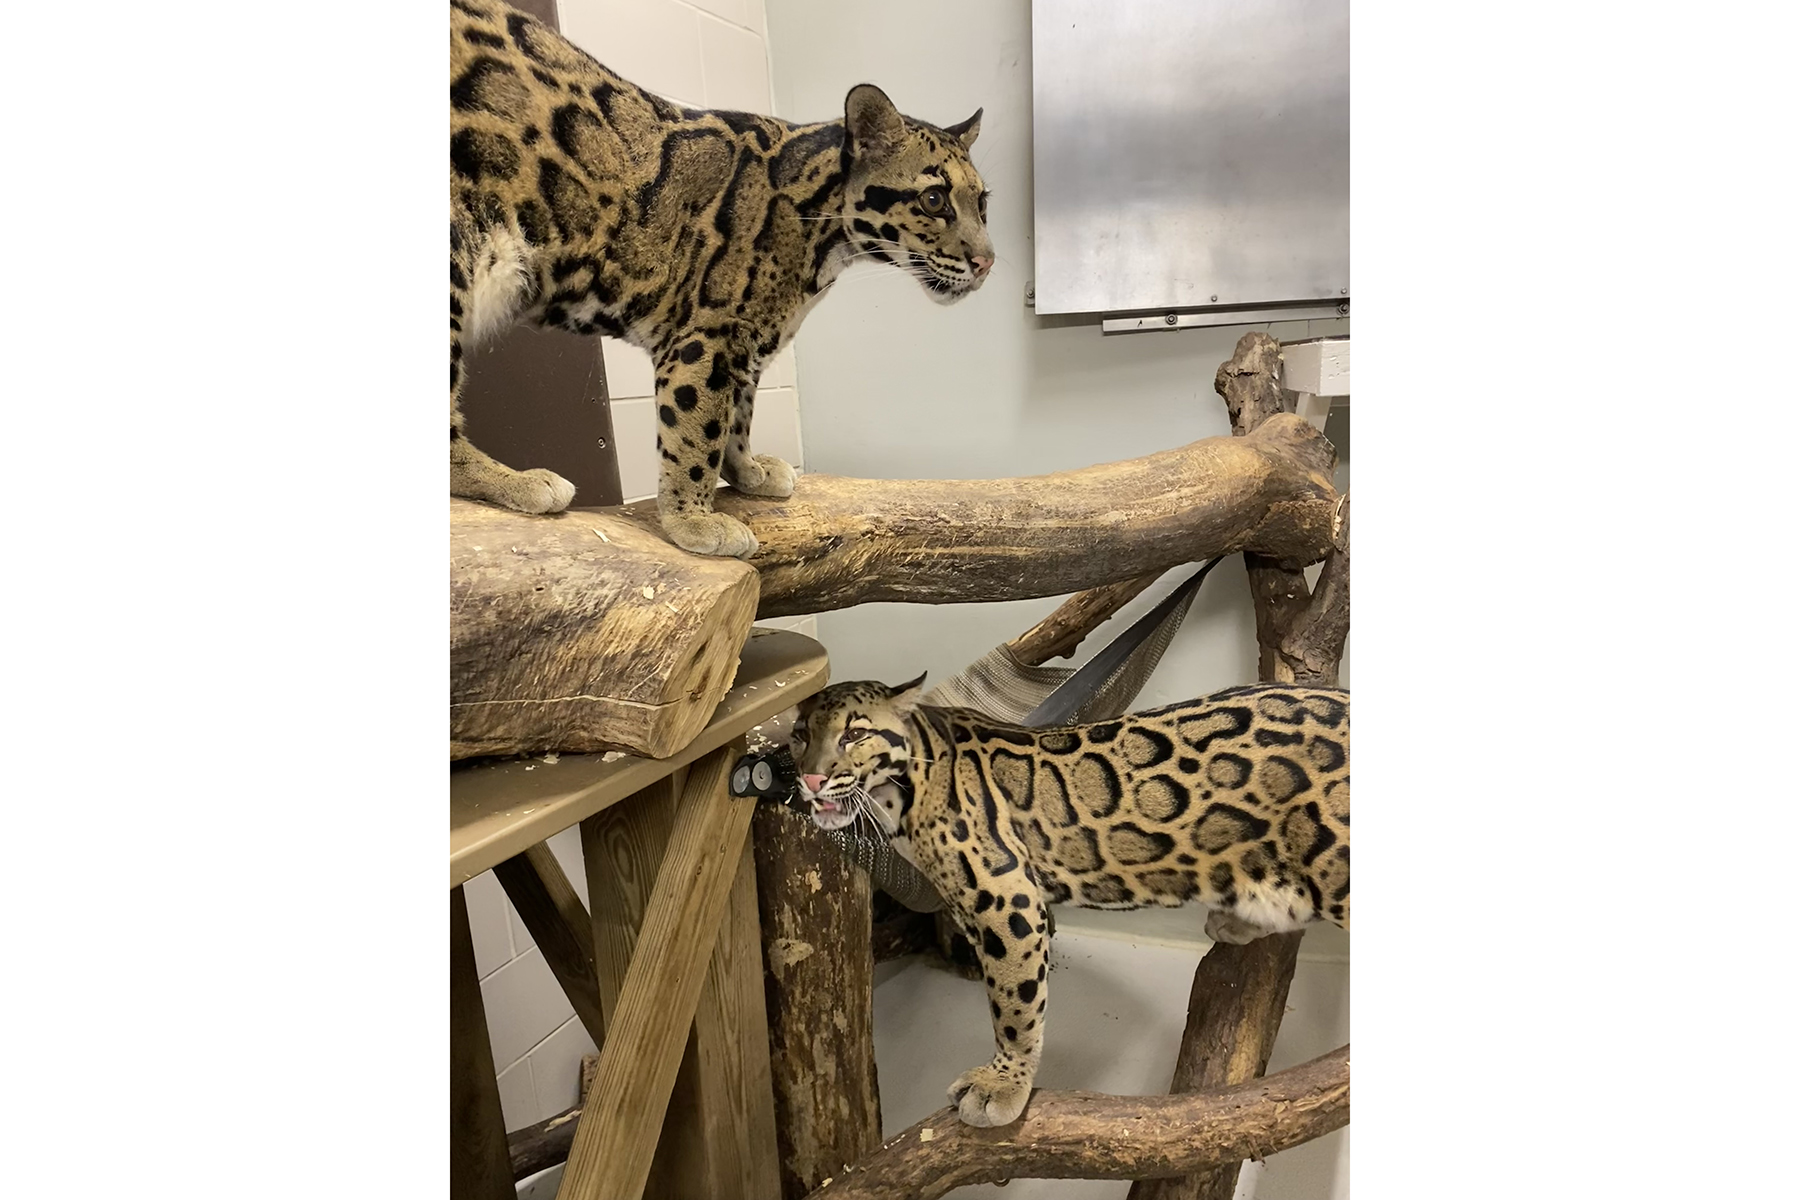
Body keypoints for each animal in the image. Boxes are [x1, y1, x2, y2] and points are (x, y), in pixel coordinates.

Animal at [444, 1, 993, 557]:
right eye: (934, 200)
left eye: (983, 202)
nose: (988, 262)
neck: (826, 244)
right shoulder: (707, 334)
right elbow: (697, 428)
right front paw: (693, 519)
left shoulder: (747, 343)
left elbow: (738, 412)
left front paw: (747, 470)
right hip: (455, 254)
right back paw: (516, 481)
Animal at [792, 680, 1353, 1129]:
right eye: (800, 734)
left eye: (854, 734)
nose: (810, 780)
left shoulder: (1007, 899)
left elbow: (1014, 1005)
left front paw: (1003, 1085)